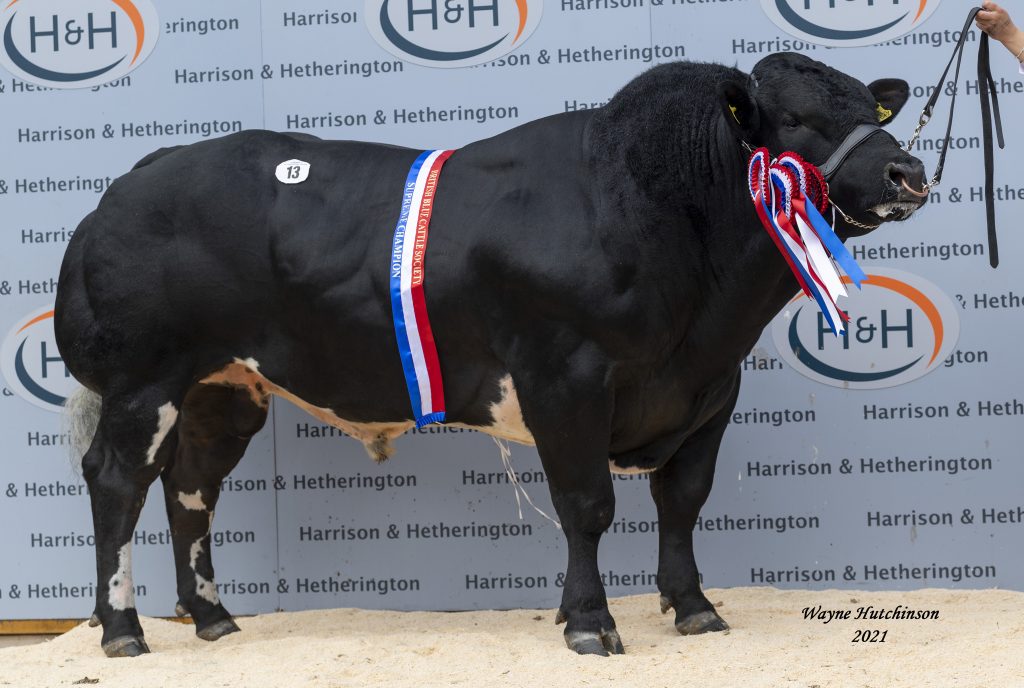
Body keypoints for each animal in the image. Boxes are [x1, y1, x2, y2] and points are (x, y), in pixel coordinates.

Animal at [54, 52, 929, 655]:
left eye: (868, 104)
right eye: (797, 119)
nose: (907, 170)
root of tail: (133, 180)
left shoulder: (711, 389)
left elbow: (682, 503)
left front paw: (694, 609)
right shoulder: (565, 378)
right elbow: (588, 506)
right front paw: (589, 623)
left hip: (222, 387)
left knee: (190, 490)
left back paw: (212, 617)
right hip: (144, 380)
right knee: (119, 482)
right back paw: (123, 629)